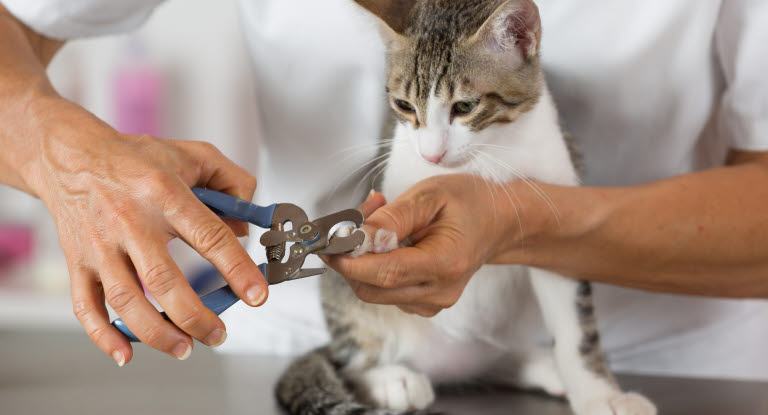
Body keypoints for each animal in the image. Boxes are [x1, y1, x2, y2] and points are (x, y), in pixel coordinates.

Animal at [276, 0, 656, 415]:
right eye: (404, 105)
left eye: (465, 106)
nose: (431, 153)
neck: (485, 158)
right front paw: (370, 237)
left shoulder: (558, 205)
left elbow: (576, 327)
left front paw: (599, 393)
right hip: (350, 309)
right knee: (351, 356)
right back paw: (390, 378)